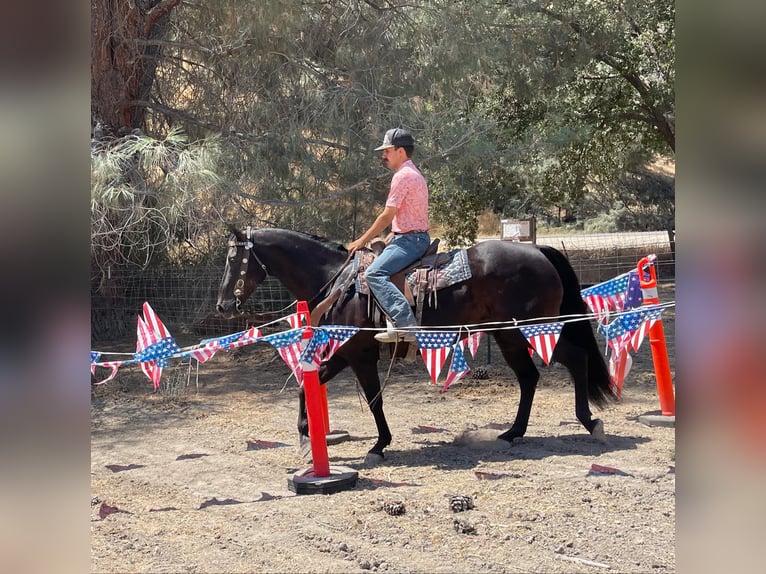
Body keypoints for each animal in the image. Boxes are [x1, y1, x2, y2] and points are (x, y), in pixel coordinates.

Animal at [218, 227, 616, 462]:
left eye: (234, 259)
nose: (223, 305)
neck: (335, 280)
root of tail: (539, 251)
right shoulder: (346, 354)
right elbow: (306, 384)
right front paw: (305, 439)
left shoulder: (357, 354)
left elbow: (373, 399)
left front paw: (378, 445)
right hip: (509, 335)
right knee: (529, 378)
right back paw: (512, 433)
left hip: (533, 329)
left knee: (576, 358)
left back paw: (589, 421)